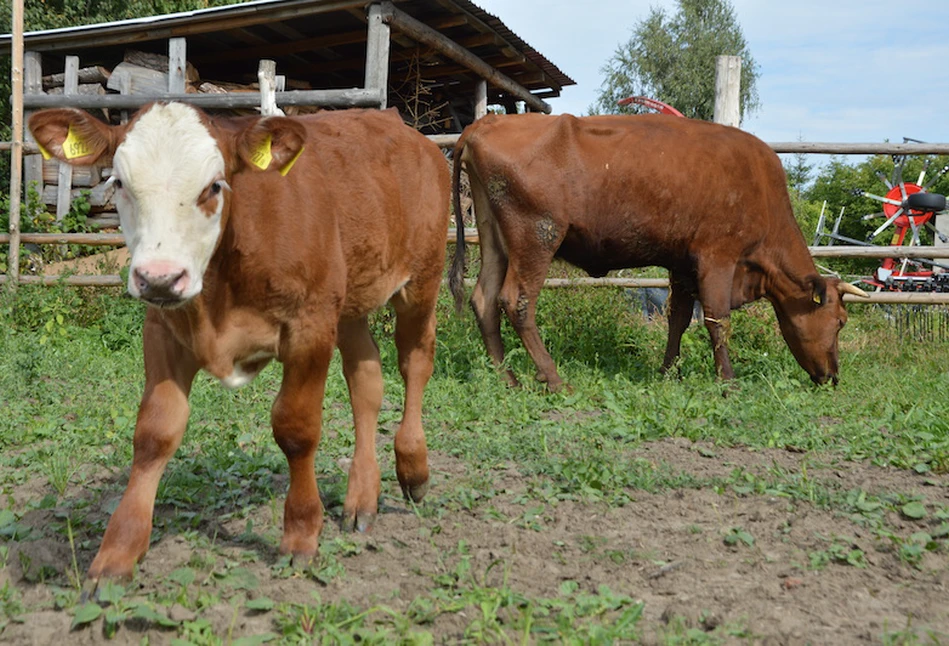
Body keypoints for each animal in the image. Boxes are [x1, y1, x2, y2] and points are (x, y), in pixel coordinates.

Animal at [25, 101, 448, 592]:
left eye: (213, 186)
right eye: (120, 183)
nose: (159, 278)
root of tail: (399, 124)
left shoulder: (309, 326)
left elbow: (296, 428)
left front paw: (301, 534)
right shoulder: (163, 327)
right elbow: (154, 433)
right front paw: (116, 554)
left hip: (421, 279)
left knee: (415, 362)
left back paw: (413, 468)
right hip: (349, 301)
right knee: (366, 378)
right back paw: (362, 497)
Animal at [448, 114, 872, 392]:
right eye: (840, 321)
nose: (833, 377)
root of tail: (485, 123)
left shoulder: (681, 265)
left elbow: (678, 320)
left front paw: (670, 372)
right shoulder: (718, 258)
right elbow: (717, 321)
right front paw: (728, 381)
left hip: (495, 240)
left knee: (484, 298)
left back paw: (507, 378)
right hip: (536, 236)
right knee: (516, 301)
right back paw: (554, 379)